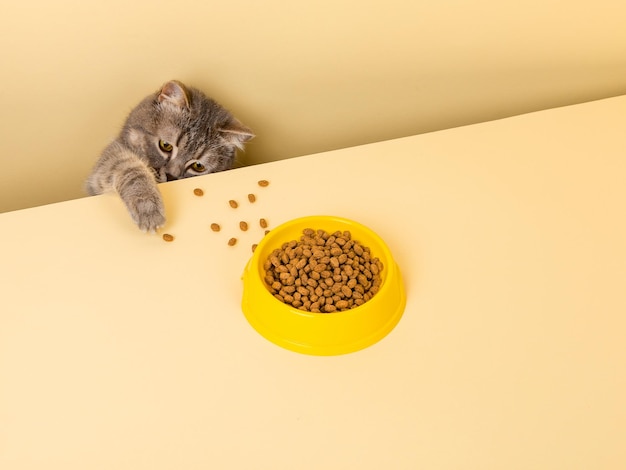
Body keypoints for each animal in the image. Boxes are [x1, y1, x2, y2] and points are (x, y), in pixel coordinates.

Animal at [84, 82, 252, 233]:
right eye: (165, 145)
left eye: (198, 166)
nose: (172, 175)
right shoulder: (108, 162)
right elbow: (131, 169)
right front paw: (147, 207)